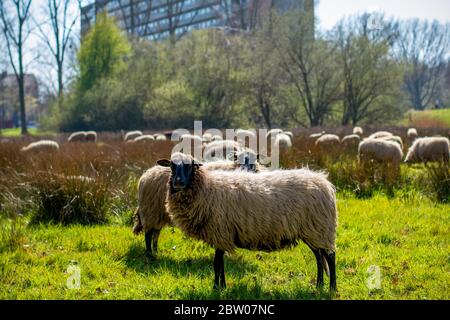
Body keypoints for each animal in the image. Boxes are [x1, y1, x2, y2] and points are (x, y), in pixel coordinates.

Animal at [158, 152, 338, 292]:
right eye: (172, 166)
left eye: (191, 166)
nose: (178, 182)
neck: (205, 187)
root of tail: (324, 182)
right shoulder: (221, 235)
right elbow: (220, 264)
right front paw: (222, 286)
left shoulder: (220, 231)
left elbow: (216, 263)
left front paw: (216, 288)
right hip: (313, 229)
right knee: (318, 256)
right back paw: (319, 286)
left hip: (321, 227)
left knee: (329, 256)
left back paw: (332, 288)